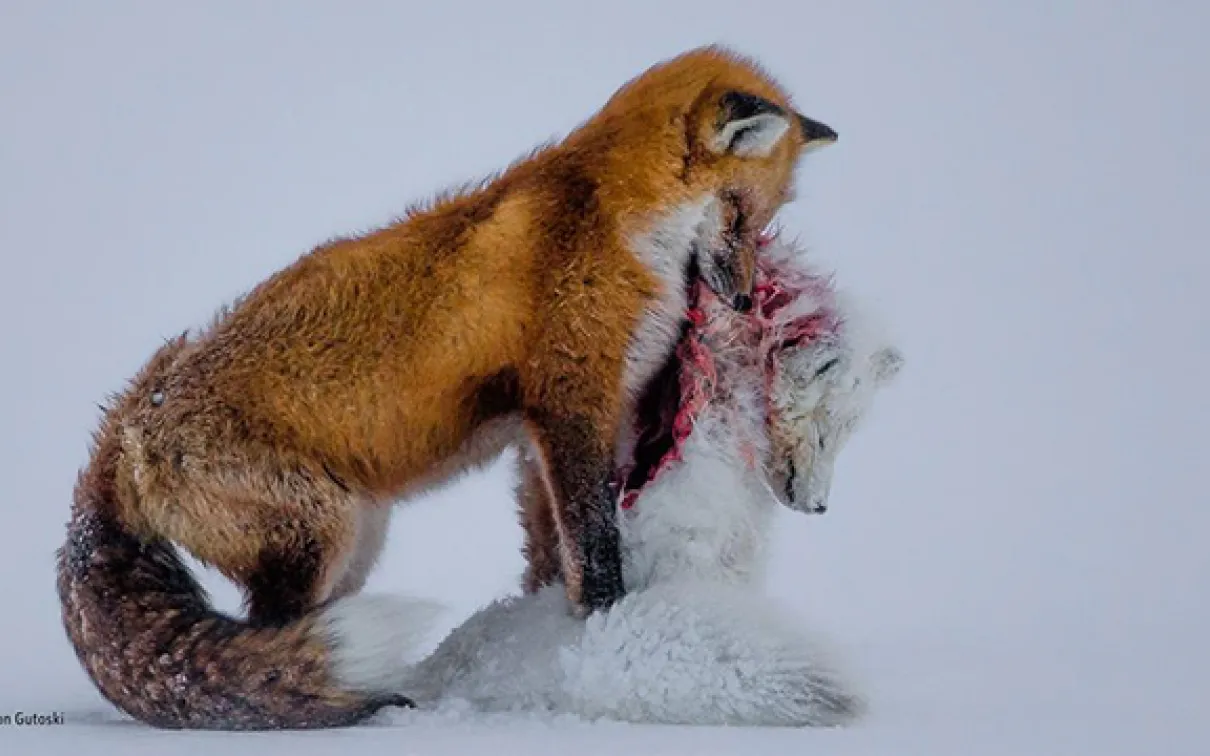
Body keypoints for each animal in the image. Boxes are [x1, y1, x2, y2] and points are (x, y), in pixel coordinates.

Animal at [57, 44, 839, 730]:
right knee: (271, 648)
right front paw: (607, 629)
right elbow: (593, 548)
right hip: (322, 533)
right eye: (738, 212)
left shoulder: (541, 436)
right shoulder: (570, 404)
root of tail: (123, 427)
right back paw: (346, 710)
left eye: (761, 221)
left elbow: (550, 554)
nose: (742, 300)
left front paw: (551, 636)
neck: (617, 224)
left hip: (355, 542)